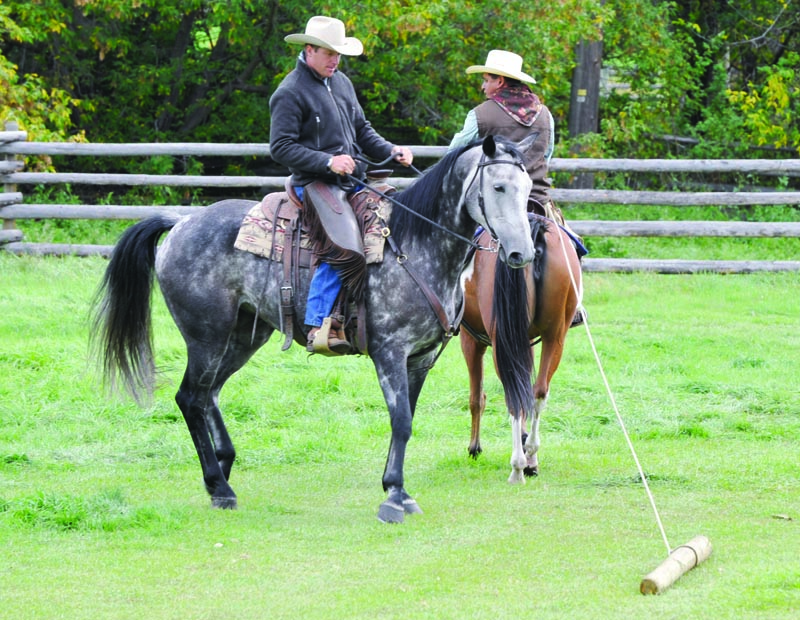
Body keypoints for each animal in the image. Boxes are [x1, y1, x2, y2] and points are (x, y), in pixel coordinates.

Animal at [91, 135, 536, 523]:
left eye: (528, 186)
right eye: (498, 186)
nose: (522, 253)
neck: (414, 246)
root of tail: (180, 223)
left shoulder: (420, 360)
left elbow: (404, 422)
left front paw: (397, 489)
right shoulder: (389, 353)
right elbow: (402, 421)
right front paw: (394, 495)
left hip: (243, 336)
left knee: (207, 395)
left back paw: (223, 467)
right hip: (207, 337)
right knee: (189, 398)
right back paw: (219, 486)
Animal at [459, 212, 582, 484]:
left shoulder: (470, 339)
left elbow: (476, 398)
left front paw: (474, 447)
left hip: (500, 345)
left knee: (513, 397)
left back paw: (516, 467)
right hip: (555, 337)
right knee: (538, 392)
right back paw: (530, 458)